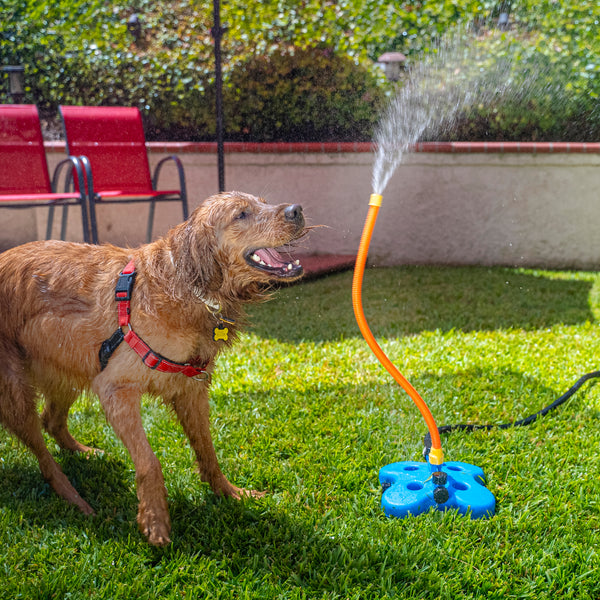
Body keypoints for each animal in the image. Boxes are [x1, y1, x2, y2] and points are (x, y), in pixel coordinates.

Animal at [0, 191, 304, 544]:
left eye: (263, 201)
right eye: (241, 214)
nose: (297, 210)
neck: (188, 285)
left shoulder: (191, 391)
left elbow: (208, 451)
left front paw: (229, 493)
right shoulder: (115, 390)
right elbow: (149, 461)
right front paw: (154, 519)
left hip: (69, 369)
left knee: (51, 419)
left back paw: (84, 453)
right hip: (16, 390)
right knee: (42, 453)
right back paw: (75, 499)